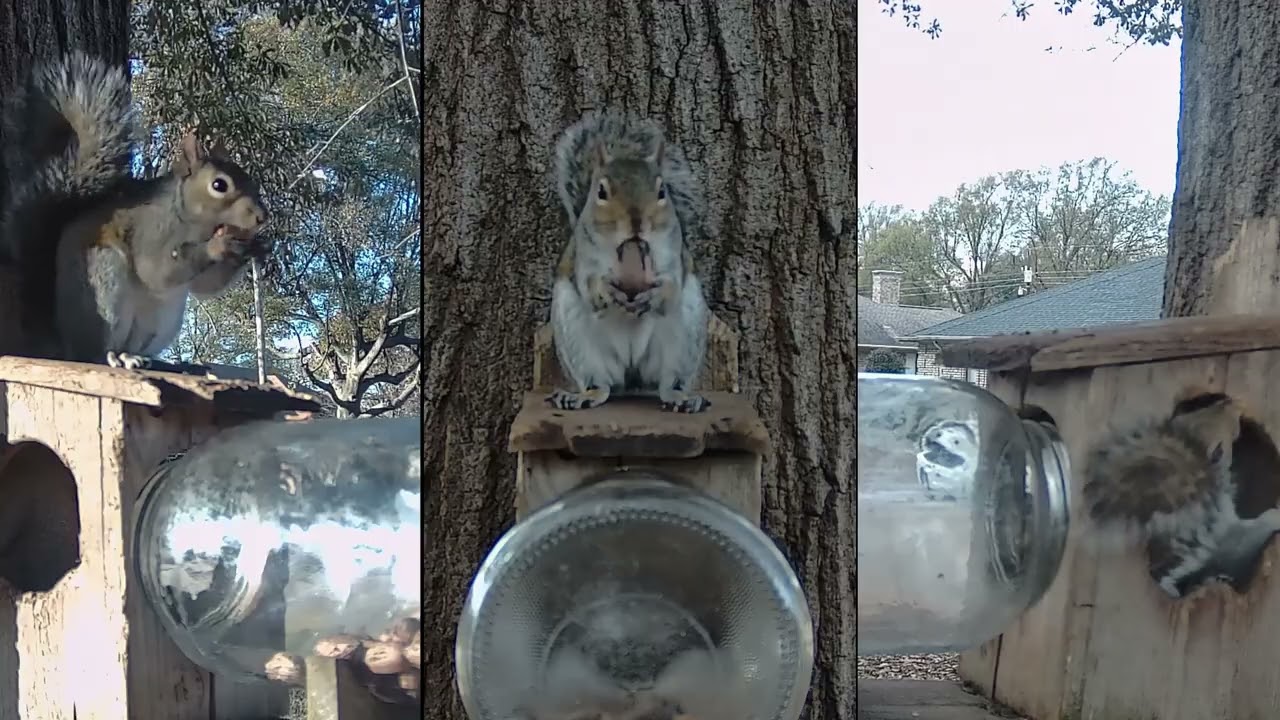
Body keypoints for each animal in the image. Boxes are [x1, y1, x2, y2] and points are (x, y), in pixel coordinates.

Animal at [0, 51, 269, 369]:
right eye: (219, 185)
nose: (262, 218)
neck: (192, 221)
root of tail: (62, 340)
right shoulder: (150, 230)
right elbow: (156, 269)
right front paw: (220, 245)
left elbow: (205, 285)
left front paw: (256, 247)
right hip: (105, 288)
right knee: (95, 350)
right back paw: (113, 356)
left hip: (160, 322)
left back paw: (148, 359)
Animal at [546, 111, 710, 413]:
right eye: (601, 191)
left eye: (662, 191)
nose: (637, 222)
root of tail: (632, 372)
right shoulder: (583, 256)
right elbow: (588, 285)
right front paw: (605, 290)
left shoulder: (673, 255)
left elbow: (672, 286)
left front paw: (656, 294)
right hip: (578, 341)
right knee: (599, 383)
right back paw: (582, 396)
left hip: (685, 336)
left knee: (669, 381)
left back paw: (681, 398)